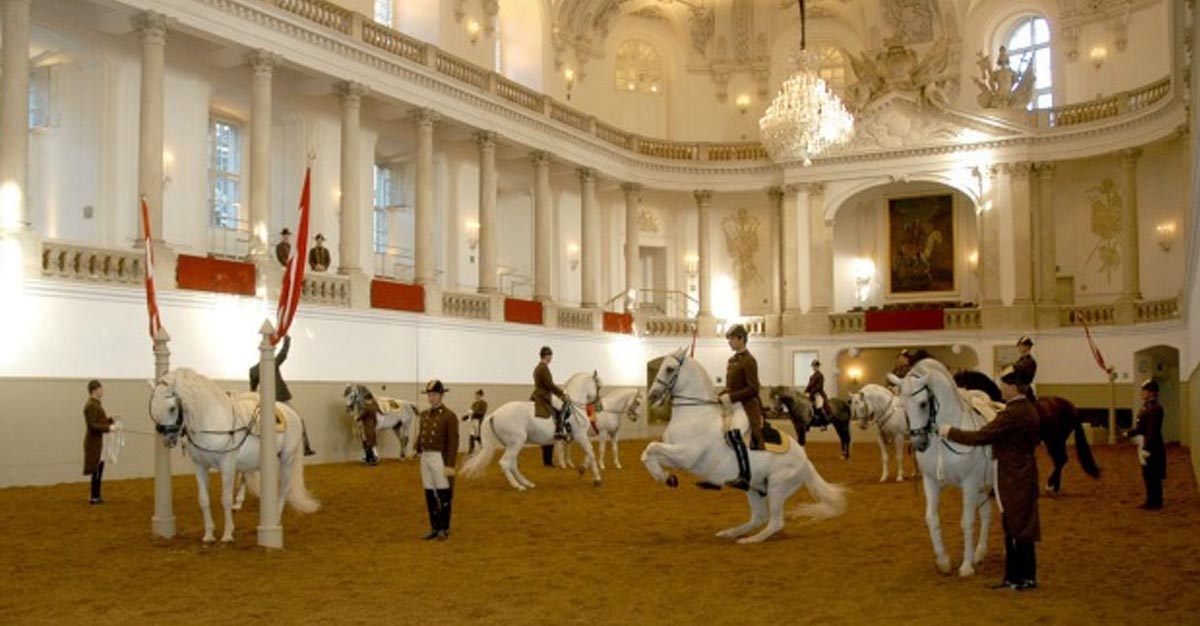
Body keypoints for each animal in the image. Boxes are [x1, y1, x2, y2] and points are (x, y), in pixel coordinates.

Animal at [147, 364, 321, 539]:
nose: (168, 438)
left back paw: (275, 520)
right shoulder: (200, 466)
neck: (212, 422)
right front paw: (209, 534)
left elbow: (225, 499)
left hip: (287, 458)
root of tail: (293, 413)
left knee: (284, 489)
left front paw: (228, 534)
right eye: (152, 408)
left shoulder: (228, 465)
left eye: (172, 408)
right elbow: (203, 500)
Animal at [463, 369, 604, 486]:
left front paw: (583, 469)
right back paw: (518, 486)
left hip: (512, 444)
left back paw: (527, 483)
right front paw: (597, 479)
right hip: (516, 442)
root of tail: (495, 414)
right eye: (599, 387)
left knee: (512, 464)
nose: (599, 406)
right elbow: (591, 452)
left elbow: (589, 452)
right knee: (505, 463)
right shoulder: (580, 435)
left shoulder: (578, 437)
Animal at [643, 345, 849, 539]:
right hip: (755, 487)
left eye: (669, 368)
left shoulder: (686, 455)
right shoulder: (675, 455)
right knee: (759, 518)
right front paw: (667, 477)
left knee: (775, 523)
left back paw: (749, 540)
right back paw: (729, 534)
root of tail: (805, 461)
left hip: (777, 487)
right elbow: (648, 453)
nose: (652, 396)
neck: (695, 413)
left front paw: (663, 477)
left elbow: (651, 448)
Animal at [892, 357, 993, 573]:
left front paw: (966, 566)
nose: (918, 444)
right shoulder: (931, 482)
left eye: (923, 403)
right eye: (903, 405)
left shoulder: (969, 483)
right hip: (982, 487)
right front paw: (944, 561)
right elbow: (932, 518)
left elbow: (967, 522)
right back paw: (980, 553)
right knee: (986, 514)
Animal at [955, 366, 1099, 489]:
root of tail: (1072, 408)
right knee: (1061, 459)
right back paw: (1055, 485)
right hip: (1056, 440)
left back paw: (1051, 484)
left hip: (1054, 440)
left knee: (1061, 459)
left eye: (958, 382)